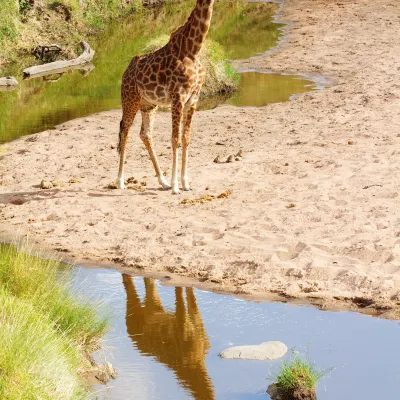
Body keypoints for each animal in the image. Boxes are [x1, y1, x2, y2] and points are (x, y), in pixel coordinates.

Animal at [116, 0, 216, 195]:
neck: (193, 49)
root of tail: (125, 72)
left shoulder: (193, 99)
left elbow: (186, 137)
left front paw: (185, 183)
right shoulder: (178, 97)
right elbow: (174, 138)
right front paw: (176, 186)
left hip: (149, 104)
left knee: (145, 134)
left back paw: (162, 181)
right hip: (130, 98)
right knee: (125, 129)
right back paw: (120, 181)